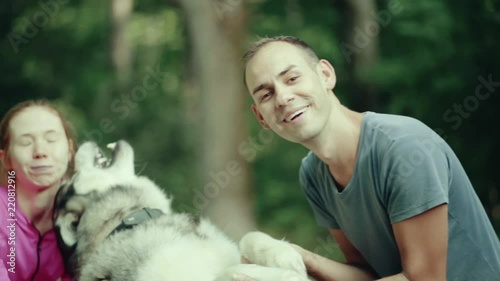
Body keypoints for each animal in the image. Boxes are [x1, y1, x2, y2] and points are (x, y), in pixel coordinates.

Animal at [52, 140, 310, 280]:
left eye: (71, 176)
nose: (79, 145)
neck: (129, 220)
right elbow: (228, 274)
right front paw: (280, 275)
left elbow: (248, 237)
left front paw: (284, 257)